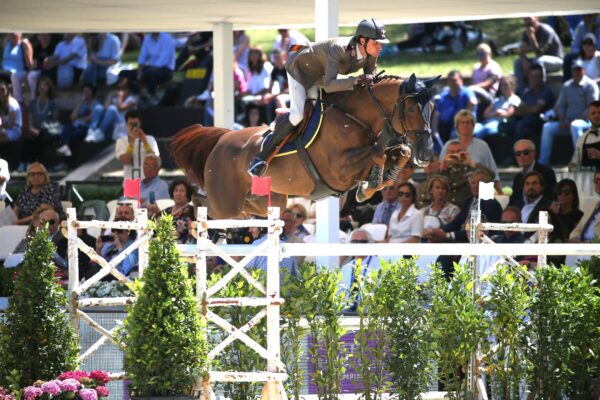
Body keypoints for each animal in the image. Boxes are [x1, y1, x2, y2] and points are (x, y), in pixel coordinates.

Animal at [169, 73, 436, 220]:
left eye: (432, 107)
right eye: (411, 109)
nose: (426, 154)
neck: (354, 118)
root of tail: (222, 139)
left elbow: (400, 152)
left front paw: (372, 185)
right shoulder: (339, 170)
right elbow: (378, 152)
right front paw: (370, 185)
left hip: (269, 201)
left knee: (244, 209)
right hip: (227, 203)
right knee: (203, 203)